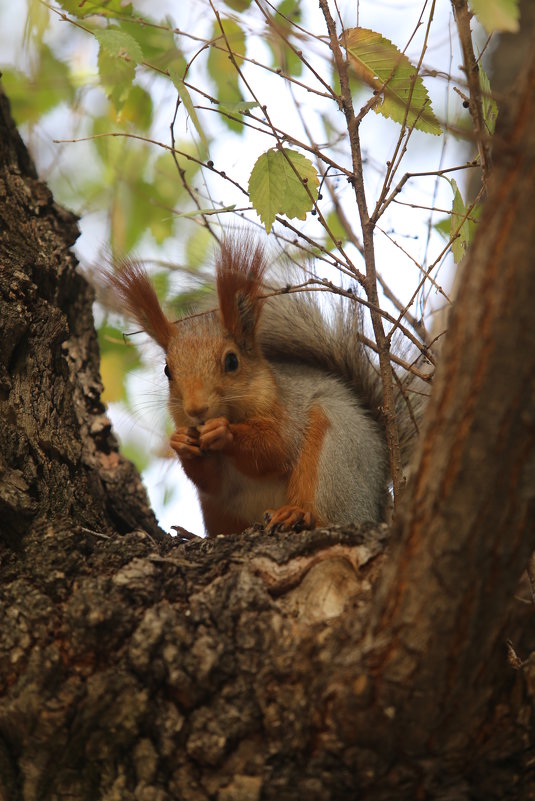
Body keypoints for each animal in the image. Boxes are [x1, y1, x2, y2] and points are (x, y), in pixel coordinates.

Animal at [103, 238, 422, 536]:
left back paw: (297, 514)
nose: (196, 409)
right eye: (168, 370)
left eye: (232, 361)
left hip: (337, 454)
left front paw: (224, 432)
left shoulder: (287, 409)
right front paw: (181, 442)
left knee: (328, 512)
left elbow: (276, 448)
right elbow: (211, 482)